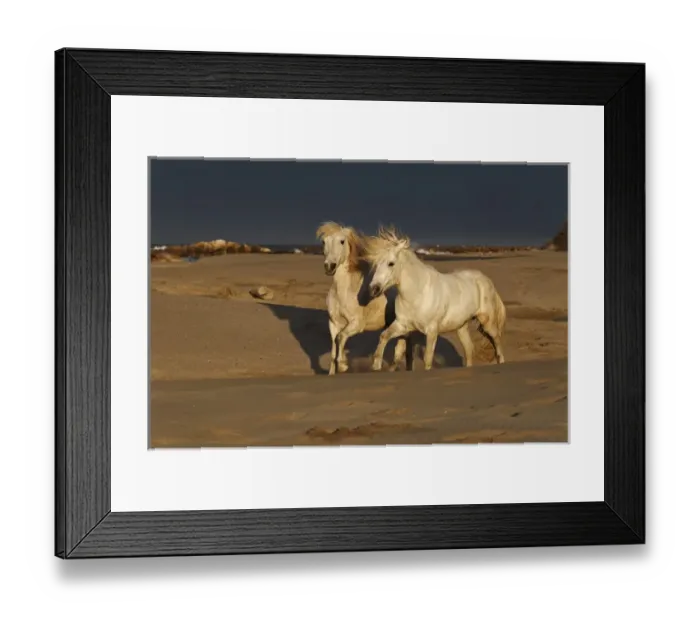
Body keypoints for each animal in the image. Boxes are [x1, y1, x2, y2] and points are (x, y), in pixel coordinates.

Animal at [316, 222, 412, 375]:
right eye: (324, 242)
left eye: (342, 241)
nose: (329, 266)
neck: (345, 291)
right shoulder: (333, 323)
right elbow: (333, 350)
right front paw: (333, 372)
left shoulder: (356, 324)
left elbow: (341, 337)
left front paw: (343, 365)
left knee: (402, 350)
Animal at [365, 226, 506, 371]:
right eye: (376, 264)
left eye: (391, 263)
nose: (373, 289)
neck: (417, 295)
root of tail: (485, 279)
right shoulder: (402, 325)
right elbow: (385, 338)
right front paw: (376, 365)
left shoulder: (432, 330)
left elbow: (428, 358)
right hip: (461, 327)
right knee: (469, 350)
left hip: (487, 322)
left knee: (497, 343)